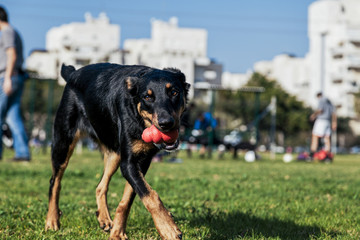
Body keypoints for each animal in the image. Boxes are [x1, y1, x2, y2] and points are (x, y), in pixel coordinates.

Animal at [45, 62, 190, 239]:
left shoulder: (140, 162)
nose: (166, 123)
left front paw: (117, 232)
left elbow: (128, 199)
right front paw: (168, 228)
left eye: (174, 92)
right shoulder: (128, 163)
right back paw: (52, 220)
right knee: (55, 181)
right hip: (63, 143)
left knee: (100, 185)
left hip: (114, 153)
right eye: (148, 97)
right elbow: (150, 196)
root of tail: (72, 73)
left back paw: (104, 218)